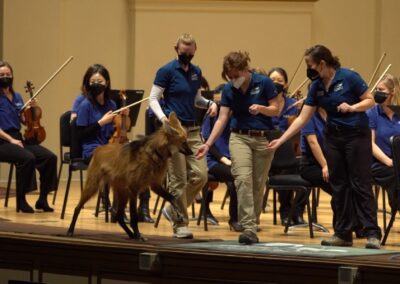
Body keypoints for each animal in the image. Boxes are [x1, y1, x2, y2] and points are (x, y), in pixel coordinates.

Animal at [67, 112, 192, 241]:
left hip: (123, 193)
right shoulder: (134, 189)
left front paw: (179, 214)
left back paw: (131, 235)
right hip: (94, 187)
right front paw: (138, 234)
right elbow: (134, 216)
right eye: (183, 142)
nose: (192, 152)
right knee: (77, 208)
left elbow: (172, 198)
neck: (155, 154)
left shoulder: (154, 185)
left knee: (119, 217)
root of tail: (99, 148)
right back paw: (70, 231)